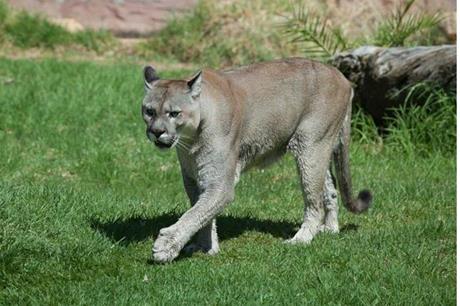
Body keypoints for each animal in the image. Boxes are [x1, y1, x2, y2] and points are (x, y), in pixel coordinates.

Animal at [142, 58, 372, 262]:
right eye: (149, 111)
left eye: (174, 113)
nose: (156, 132)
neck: (190, 140)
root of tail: (341, 76)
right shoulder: (194, 179)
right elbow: (202, 213)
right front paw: (206, 247)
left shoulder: (220, 183)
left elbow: (195, 214)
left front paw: (165, 247)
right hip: (317, 150)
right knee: (330, 190)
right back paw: (330, 229)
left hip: (310, 146)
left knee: (314, 202)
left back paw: (301, 239)